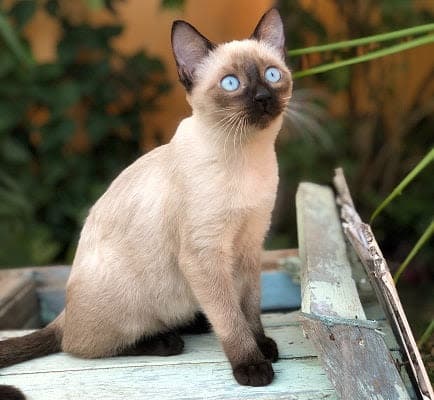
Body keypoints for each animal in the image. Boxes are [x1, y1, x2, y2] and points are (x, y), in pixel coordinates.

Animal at [0, 7, 294, 398]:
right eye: (231, 83)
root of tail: (64, 313)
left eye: (272, 75)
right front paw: (253, 365)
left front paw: (263, 345)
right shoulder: (205, 255)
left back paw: (194, 324)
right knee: (78, 346)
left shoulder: (248, 245)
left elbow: (248, 308)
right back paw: (166, 341)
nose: (262, 97)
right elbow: (231, 319)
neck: (246, 158)